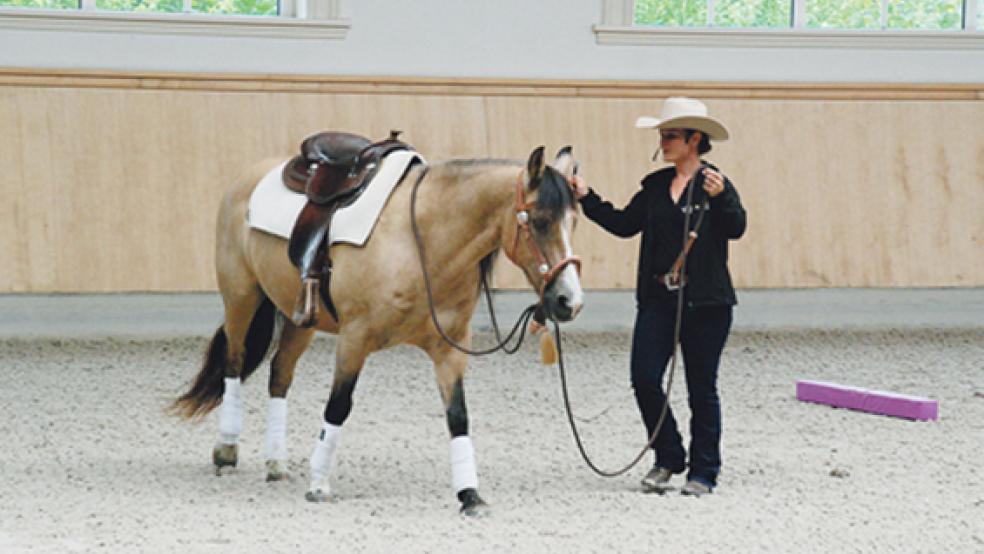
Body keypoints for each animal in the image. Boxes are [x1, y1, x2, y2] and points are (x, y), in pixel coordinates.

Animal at [169, 143, 584, 512]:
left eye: (574, 222)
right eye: (541, 221)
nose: (570, 301)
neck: (421, 243)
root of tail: (247, 179)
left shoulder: (449, 349)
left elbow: (458, 416)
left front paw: (469, 495)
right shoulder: (355, 339)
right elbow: (338, 406)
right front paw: (319, 485)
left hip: (300, 318)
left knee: (279, 375)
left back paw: (276, 462)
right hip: (241, 296)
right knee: (234, 362)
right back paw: (227, 449)